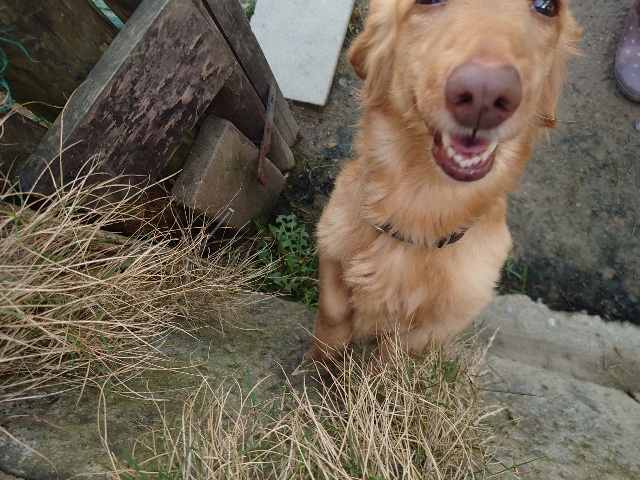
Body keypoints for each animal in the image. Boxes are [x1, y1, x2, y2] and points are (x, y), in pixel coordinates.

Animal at [306, 0, 580, 362]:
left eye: (546, 6)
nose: (485, 93)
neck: (417, 215)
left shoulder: (438, 326)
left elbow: (392, 358)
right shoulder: (331, 252)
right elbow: (331, 317)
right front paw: (316, 368)